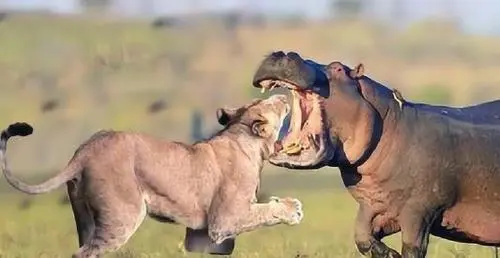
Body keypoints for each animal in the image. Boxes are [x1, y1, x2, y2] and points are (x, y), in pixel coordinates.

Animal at [0, 94, 302, 258]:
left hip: (86, 219)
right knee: (84, 252)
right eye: (270, 104)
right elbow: (263, 212)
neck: (245, 140)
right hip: (123, 215)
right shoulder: (225, 219)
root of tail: (83, 152)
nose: (282, 96)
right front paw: (292, 209)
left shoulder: (203, 234)